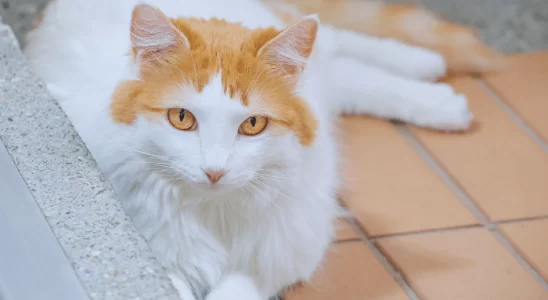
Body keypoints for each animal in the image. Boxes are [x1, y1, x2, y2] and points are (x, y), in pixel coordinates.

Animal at [25, 0, 504, 300]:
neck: (214, 212)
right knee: (347, 69)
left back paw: (433, 79)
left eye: (252, 125)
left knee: (343, 48)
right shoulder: (160, 254)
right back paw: (434, 79)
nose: (214, 171)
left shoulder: (284, 248)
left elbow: (238, 288)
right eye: (182, 118)